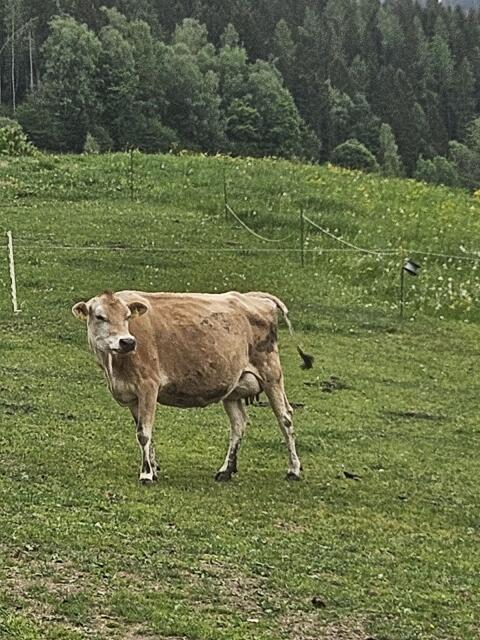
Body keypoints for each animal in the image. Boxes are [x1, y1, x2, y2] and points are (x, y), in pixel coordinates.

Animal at [72, 290, 313, 483]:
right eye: (100, 316)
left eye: (127, 316)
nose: (127, 342)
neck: (113, 366)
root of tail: (254, 296)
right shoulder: (132, 396)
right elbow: (145, 431)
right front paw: (153, 468)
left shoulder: (148, 385)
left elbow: (144, 433)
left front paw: (146, 474)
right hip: (233, 387)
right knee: (238, 424)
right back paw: (226, 470)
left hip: (271, 374)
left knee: (285, 419)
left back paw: (293, 470)